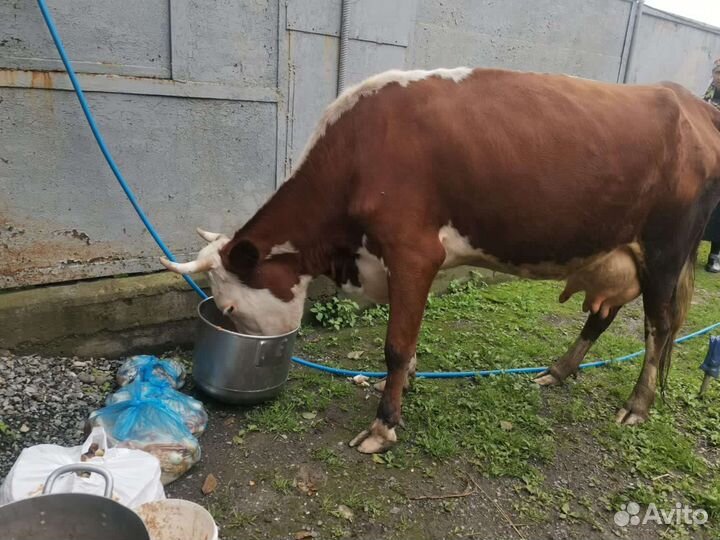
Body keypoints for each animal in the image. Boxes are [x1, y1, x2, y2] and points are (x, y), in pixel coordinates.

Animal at [161, 67, 720, 454]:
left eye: (229, 309)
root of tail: (689, 101)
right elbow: (408, 340)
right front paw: (404, 387)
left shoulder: (412, 250)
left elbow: (395, 344)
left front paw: (383, 425)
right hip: (617, 250)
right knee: (604, 315)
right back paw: (557, 372)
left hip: (667, 250)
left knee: (659, 326)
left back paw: (638, 405)